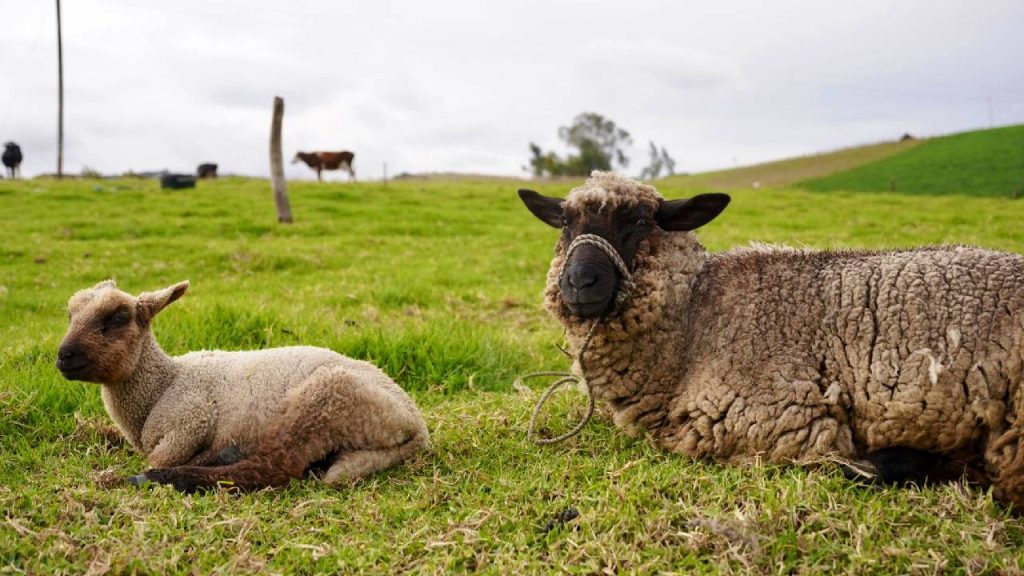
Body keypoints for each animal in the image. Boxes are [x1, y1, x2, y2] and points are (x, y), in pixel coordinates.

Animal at [54, 280, 430, 491]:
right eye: (70, 315)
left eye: (117, 319)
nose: (63, 357)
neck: (164, 383)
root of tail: (415, 424)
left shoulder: (189, 423)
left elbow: (157, 457)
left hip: (325, 400)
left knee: (274, 465)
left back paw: (172, 477)